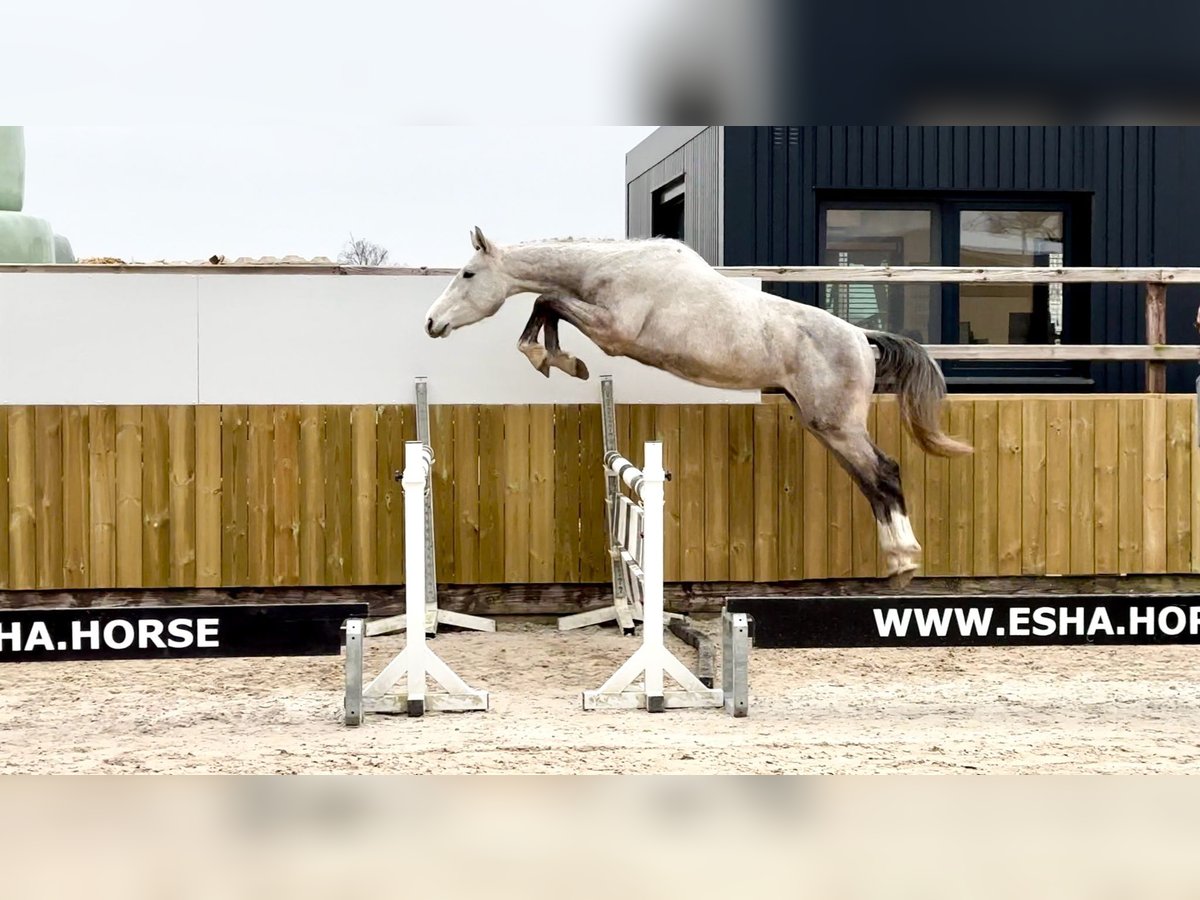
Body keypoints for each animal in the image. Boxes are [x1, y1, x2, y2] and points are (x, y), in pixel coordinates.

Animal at [427, 229, 969, 588]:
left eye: (468, 273)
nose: (432, 323)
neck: (617, 268)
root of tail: (861, 336)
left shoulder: (614, 332)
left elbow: (547, 299)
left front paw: (553, 359)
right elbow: (548, 303)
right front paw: (558, 360)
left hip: (838, 427)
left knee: (886, 473)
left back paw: (905, 562)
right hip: (825, 427)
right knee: (872, 484)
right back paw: (897, 562)